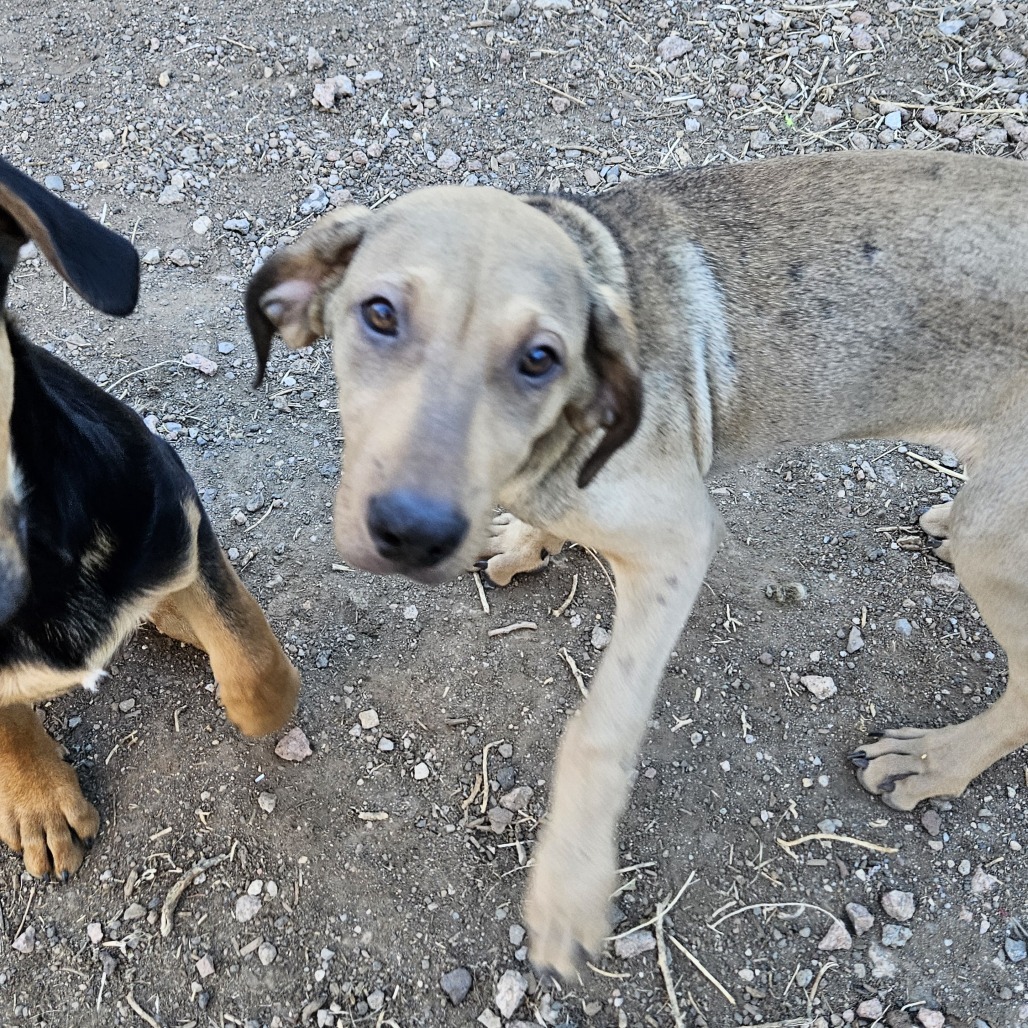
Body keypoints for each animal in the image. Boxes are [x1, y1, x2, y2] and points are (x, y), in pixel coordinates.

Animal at [246, 152, 1028, 978]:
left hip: (990, 537)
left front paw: (570, 884)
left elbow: (599, 728)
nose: (413, 532)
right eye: (380, 314)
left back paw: (934, 761)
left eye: (539, 359)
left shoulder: (678, 545)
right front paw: (527, 540)